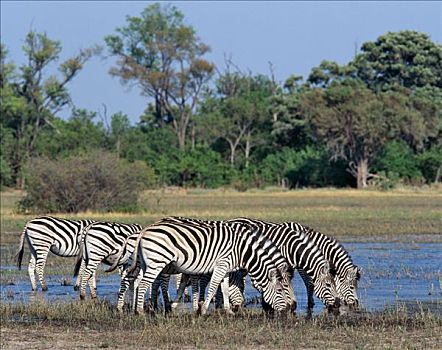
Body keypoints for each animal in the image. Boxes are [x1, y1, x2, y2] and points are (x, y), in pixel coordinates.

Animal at [117, 219, 296, 314]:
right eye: (280, 290)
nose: (287, 310)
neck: (241, 250)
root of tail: (145, 230)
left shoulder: (226, 269)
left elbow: (224, 289)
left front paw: (228, 311)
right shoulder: (221, 264)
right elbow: (213, 287)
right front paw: (203, 310)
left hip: (146, 263)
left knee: (138, 283)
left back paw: (139, 309)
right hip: (156, 262)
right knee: (143, 285)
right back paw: (140, 312)